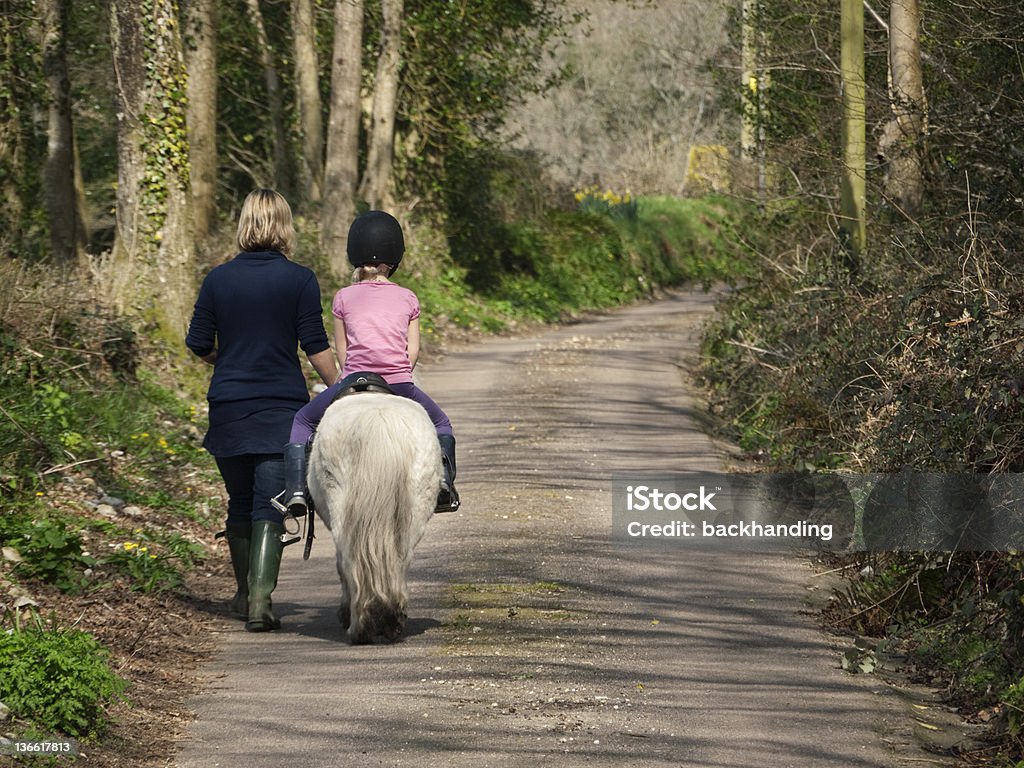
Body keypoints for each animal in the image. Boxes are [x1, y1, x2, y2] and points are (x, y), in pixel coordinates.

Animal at [309, 391, 442, 643]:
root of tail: (379, 421)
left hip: (341, 512)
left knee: (349, 561)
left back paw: (359, 626)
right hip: (414, 511)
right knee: (400, 559)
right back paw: (392, 623)